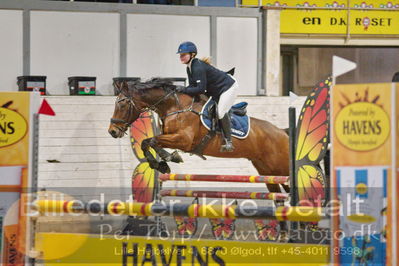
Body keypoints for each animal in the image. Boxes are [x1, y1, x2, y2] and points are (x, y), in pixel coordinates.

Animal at [109, 77, 290, 195]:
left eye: (122, 104)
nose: (112, 131)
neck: (175, 107)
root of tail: (282, 132)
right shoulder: (170, 136)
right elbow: (148, 143)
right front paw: (163, 163)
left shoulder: (183, 140)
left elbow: (151, 141)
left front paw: (169, 158)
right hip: (267, 171)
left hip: (280, 167)